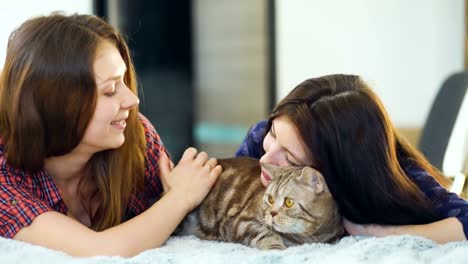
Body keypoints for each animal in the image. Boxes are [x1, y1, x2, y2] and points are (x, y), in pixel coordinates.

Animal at [176, 157, 344, 250]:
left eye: (289, 202)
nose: (272, 213)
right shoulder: (241, 221)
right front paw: (276, 247)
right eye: (270, 199)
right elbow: (266, 233)